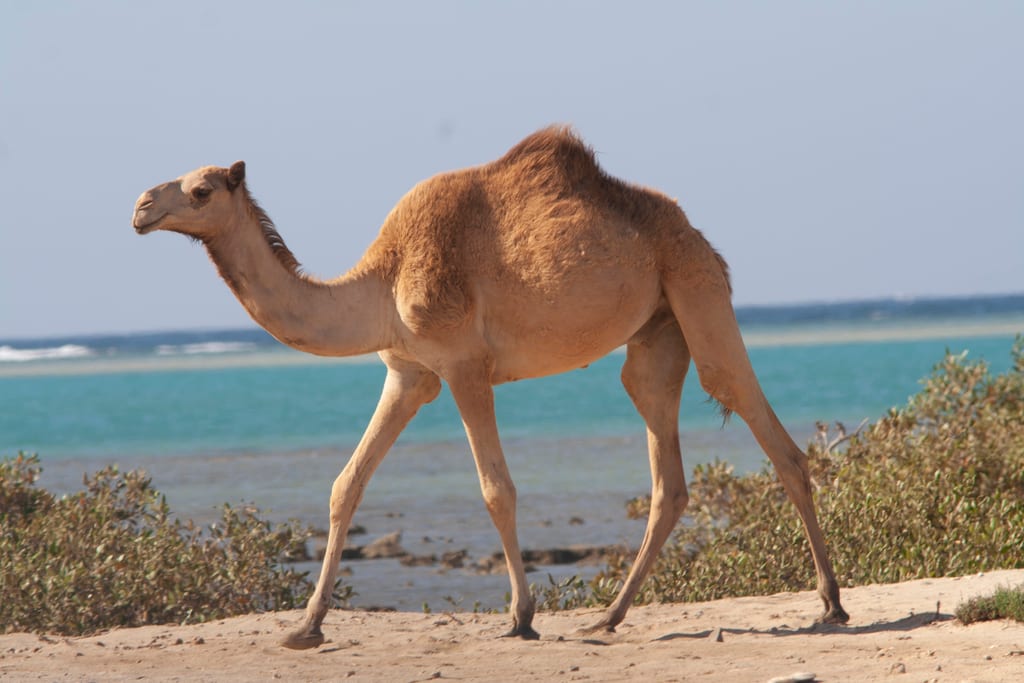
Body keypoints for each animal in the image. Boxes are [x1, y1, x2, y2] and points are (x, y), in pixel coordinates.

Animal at [132, 126, 849, 650]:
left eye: (201, 190)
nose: (140, 207)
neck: (380, 285)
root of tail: (697, 233)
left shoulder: (463, 366)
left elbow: (496, 489)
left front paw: (521, 616)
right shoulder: (409, 372)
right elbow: (346, 484)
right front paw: (305, 627)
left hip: (697, 286)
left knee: (769, 433)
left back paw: (833, 603)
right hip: (656, 332)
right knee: (666, 473)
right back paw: (608, 616)